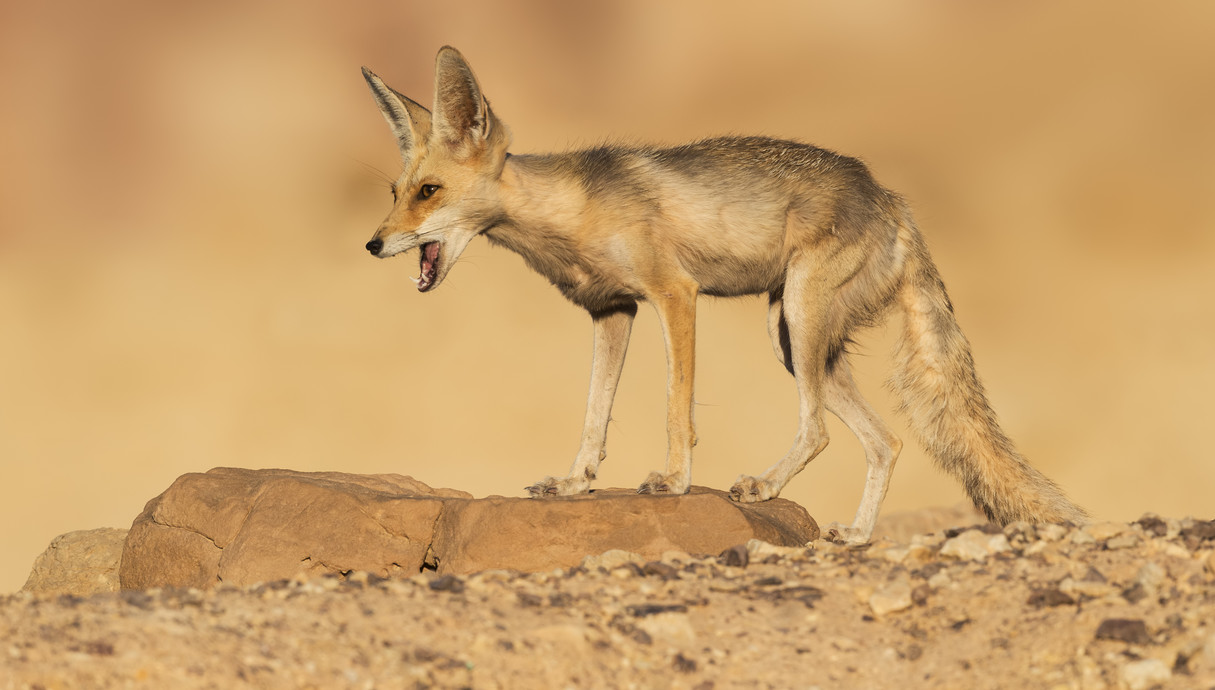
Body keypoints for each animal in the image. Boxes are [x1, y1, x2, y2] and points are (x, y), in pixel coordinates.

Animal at [354, 48, 1088, 544]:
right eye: (395, 192)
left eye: (429, 193)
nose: (372, 244)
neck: (569, 213)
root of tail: (892, 198)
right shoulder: (612, 311)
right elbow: (594, 415)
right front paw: (574, 482)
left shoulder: (673, 294)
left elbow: (675, 409)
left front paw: (674, 483)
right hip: (790, 338)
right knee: (885, 442)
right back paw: (855, 534)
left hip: (800, 318)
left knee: (820, 429)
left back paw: (765, 485)